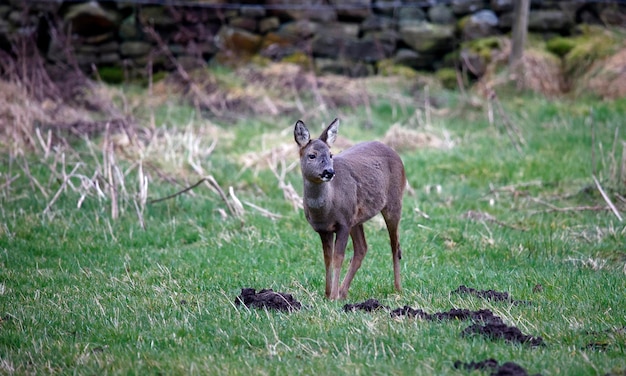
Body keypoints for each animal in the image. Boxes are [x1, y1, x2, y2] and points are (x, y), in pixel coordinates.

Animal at [292, 117, 404, 300]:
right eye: (312, 155)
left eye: (330, 154)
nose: (329, 172)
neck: (325, 209)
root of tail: (394, 152)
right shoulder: (323, 229)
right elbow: (327, 259)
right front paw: (328, 293)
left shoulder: (343, 223)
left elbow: (338, 258)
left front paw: (332, 296)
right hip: (356, 218)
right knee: (362, 248)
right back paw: (343, 292)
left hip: (393, 202)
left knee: (395, 245)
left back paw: (398, 288)